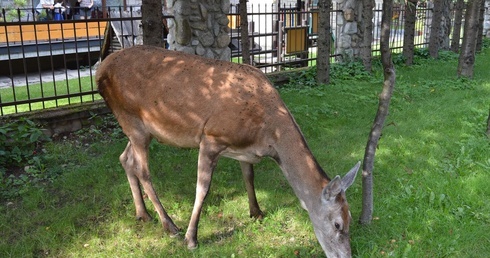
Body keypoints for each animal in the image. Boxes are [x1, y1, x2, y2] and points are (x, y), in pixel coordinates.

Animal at [96, 45, 360, 256]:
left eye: (351, 218)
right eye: (338, 224)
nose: (346, 256)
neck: (268, 136)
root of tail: (101, 69)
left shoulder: (245, 151)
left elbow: (249, 177)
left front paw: (256, 212)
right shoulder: (211, 137)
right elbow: (202, 189)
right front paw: (191, 238)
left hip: (141, 128)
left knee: (125, 158)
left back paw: (142, 214)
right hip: (132, 118)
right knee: (143, 170)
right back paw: (169, 225)